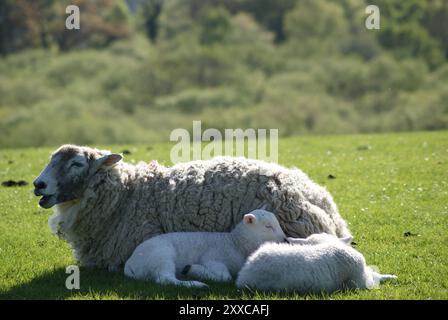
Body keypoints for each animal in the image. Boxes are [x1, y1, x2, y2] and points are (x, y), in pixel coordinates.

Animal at [124, 208, 286, 288]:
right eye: (268, 226)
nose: (285, 239)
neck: (236, 243)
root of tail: (130, 263)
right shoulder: (212, 258)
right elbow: (224, 277)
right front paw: (193, 269)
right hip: (160, 255)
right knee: (164, 279)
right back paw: (195, 283)